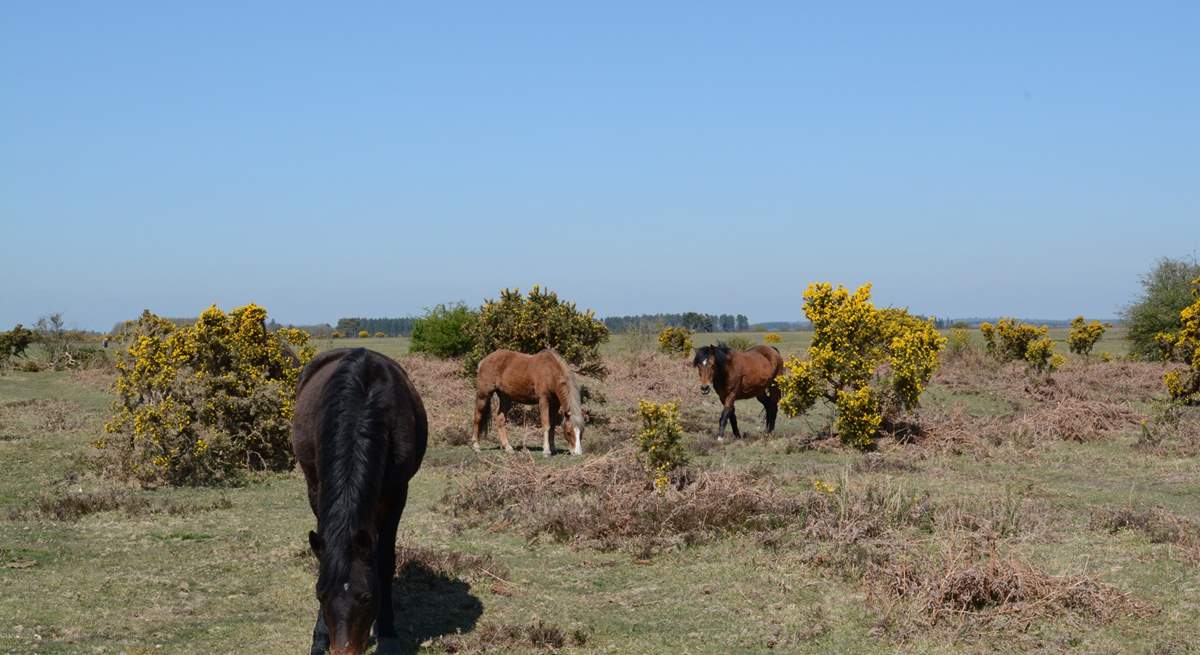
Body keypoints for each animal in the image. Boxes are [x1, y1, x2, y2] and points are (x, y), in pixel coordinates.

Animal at [292, 345, 429, 652]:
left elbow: (385, 561)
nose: (343, 651)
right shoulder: (317, 489)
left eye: (367, 597)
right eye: (320, 595)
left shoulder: (397, 494)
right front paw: (319, 638)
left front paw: (388, 633)